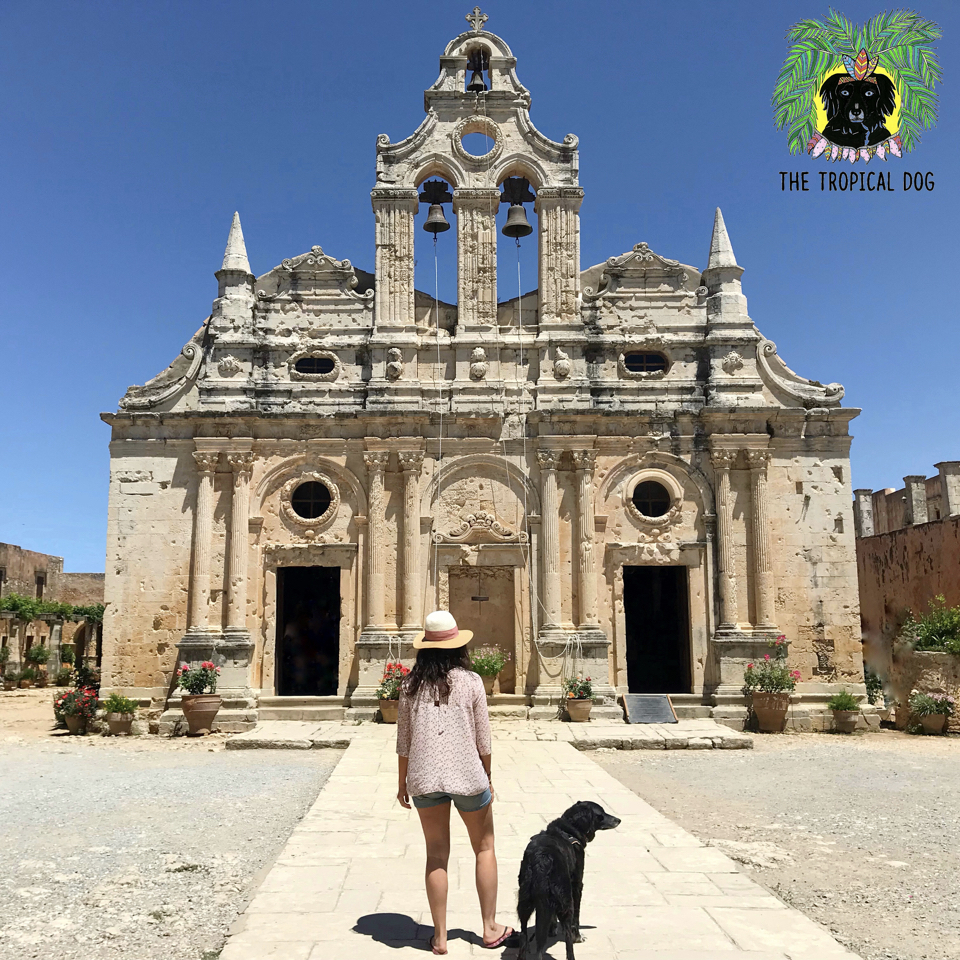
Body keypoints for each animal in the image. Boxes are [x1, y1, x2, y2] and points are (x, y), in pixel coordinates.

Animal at [516, 800, 624, 960]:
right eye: (601, 814)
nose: (619, 820)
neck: (568, 831)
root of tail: (542, 860)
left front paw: (552, 929)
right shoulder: (577, 884)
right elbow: (576, 919)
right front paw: (577, 936)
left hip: (524, 901)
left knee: (523, 936)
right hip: (565, 899)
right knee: (567, 937)